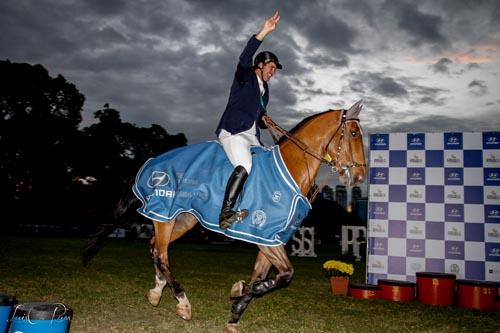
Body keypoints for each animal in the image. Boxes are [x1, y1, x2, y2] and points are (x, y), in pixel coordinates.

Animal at [81, 99, 364, 332]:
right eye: (353, 133)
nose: (360, 176)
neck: (292, 169)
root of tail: (151, 162)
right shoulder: (265, 236)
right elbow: (285, 275)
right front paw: (238, 291)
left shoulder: (269, 239)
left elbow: (264, 276)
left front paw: (236, 311)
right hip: (164, 213)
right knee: (161, 254)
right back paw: (182, 302)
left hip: (184, 220)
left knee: (155, 249)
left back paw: (157, 291)